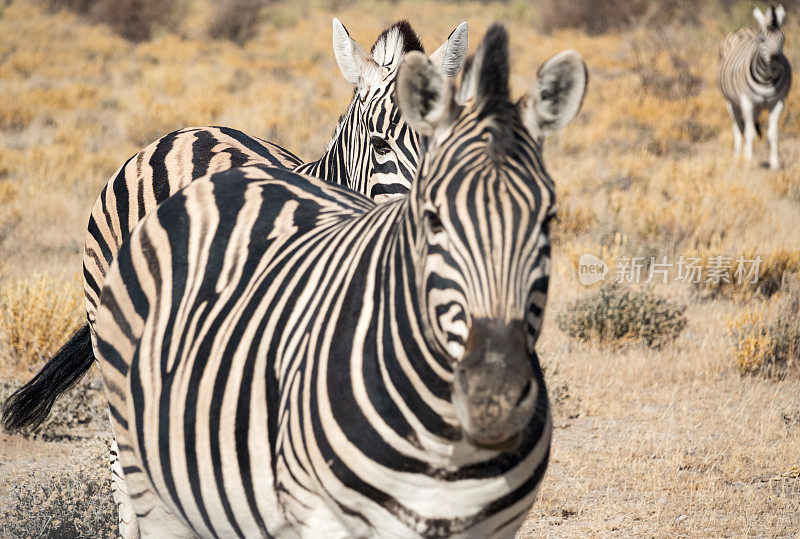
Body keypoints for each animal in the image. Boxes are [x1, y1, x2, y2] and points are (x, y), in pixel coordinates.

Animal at [716, 3, 792, 169]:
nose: (776, 63)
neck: (767, 79)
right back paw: (738, 155)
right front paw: (748, 162)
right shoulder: (747, 102)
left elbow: (773, 133)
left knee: (745, 125)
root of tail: (745, 29)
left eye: (783, 39)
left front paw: (775, 163)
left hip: (756, 107)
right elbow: (749, 133)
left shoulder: (778, 103)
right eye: (762, 39)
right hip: (731, 102)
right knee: (738, 126)